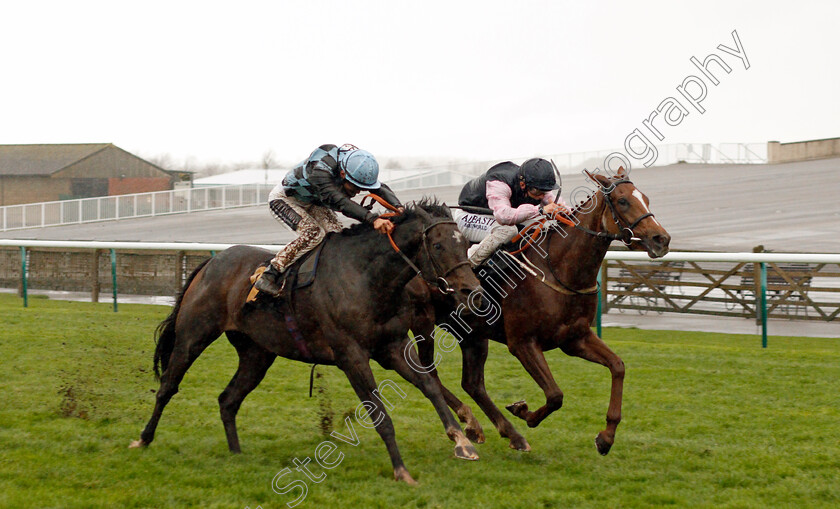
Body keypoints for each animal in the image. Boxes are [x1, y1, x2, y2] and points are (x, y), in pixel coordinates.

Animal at [131, 199, 486, 484]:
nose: (472, 291)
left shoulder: (392, 348)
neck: (365, 277)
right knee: (168, 386)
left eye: (463, 243)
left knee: (228, 399)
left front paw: (462, 441)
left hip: (256, 353)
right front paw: (401, 470)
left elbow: (430, 386)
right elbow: (381, 415)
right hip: (194, 335)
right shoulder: (351, 355)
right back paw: (143, 439)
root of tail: (211, 262)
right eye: (438, 246)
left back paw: (236, 453)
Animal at [412, 167, 668, 452]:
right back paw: (473, 424)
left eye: (645, 198)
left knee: (472, 383)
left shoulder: (575, 339)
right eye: (623, 201)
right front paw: (523, 412)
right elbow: (555, 395)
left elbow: (618, 366)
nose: (662, 239)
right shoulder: (522, 343)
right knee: (427, 374)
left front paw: (606, 436)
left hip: (471, 334)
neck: (558, 269)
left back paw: (503, 432)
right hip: (423, 323)